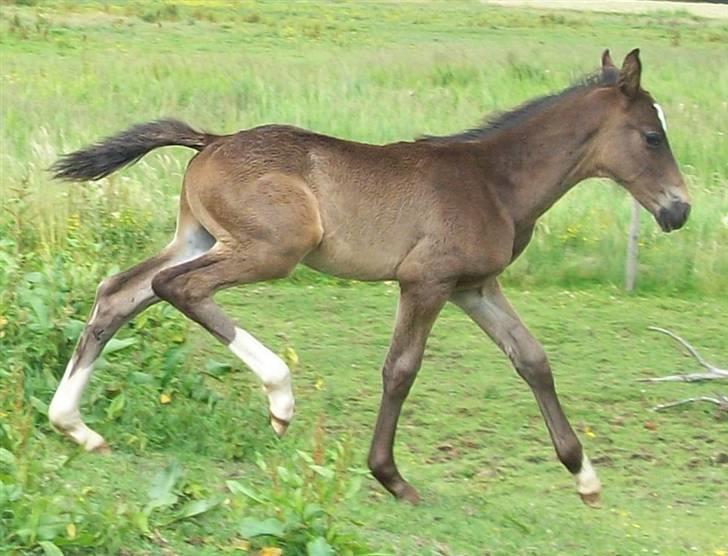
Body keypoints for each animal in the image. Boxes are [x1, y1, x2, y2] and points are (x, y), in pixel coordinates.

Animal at [49, 50, 688, 506]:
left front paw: (585, 476)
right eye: (652, 137)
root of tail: (212, 140)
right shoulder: (426, 282)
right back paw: (280, 398)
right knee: (178, 288)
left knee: (120, 293)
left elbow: (532, 359)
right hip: (274, 248)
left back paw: (75, 426)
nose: (679, 210)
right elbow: (401, 369)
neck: (494, 180)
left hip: (197, 237)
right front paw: (390, 477)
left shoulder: (474, 287)